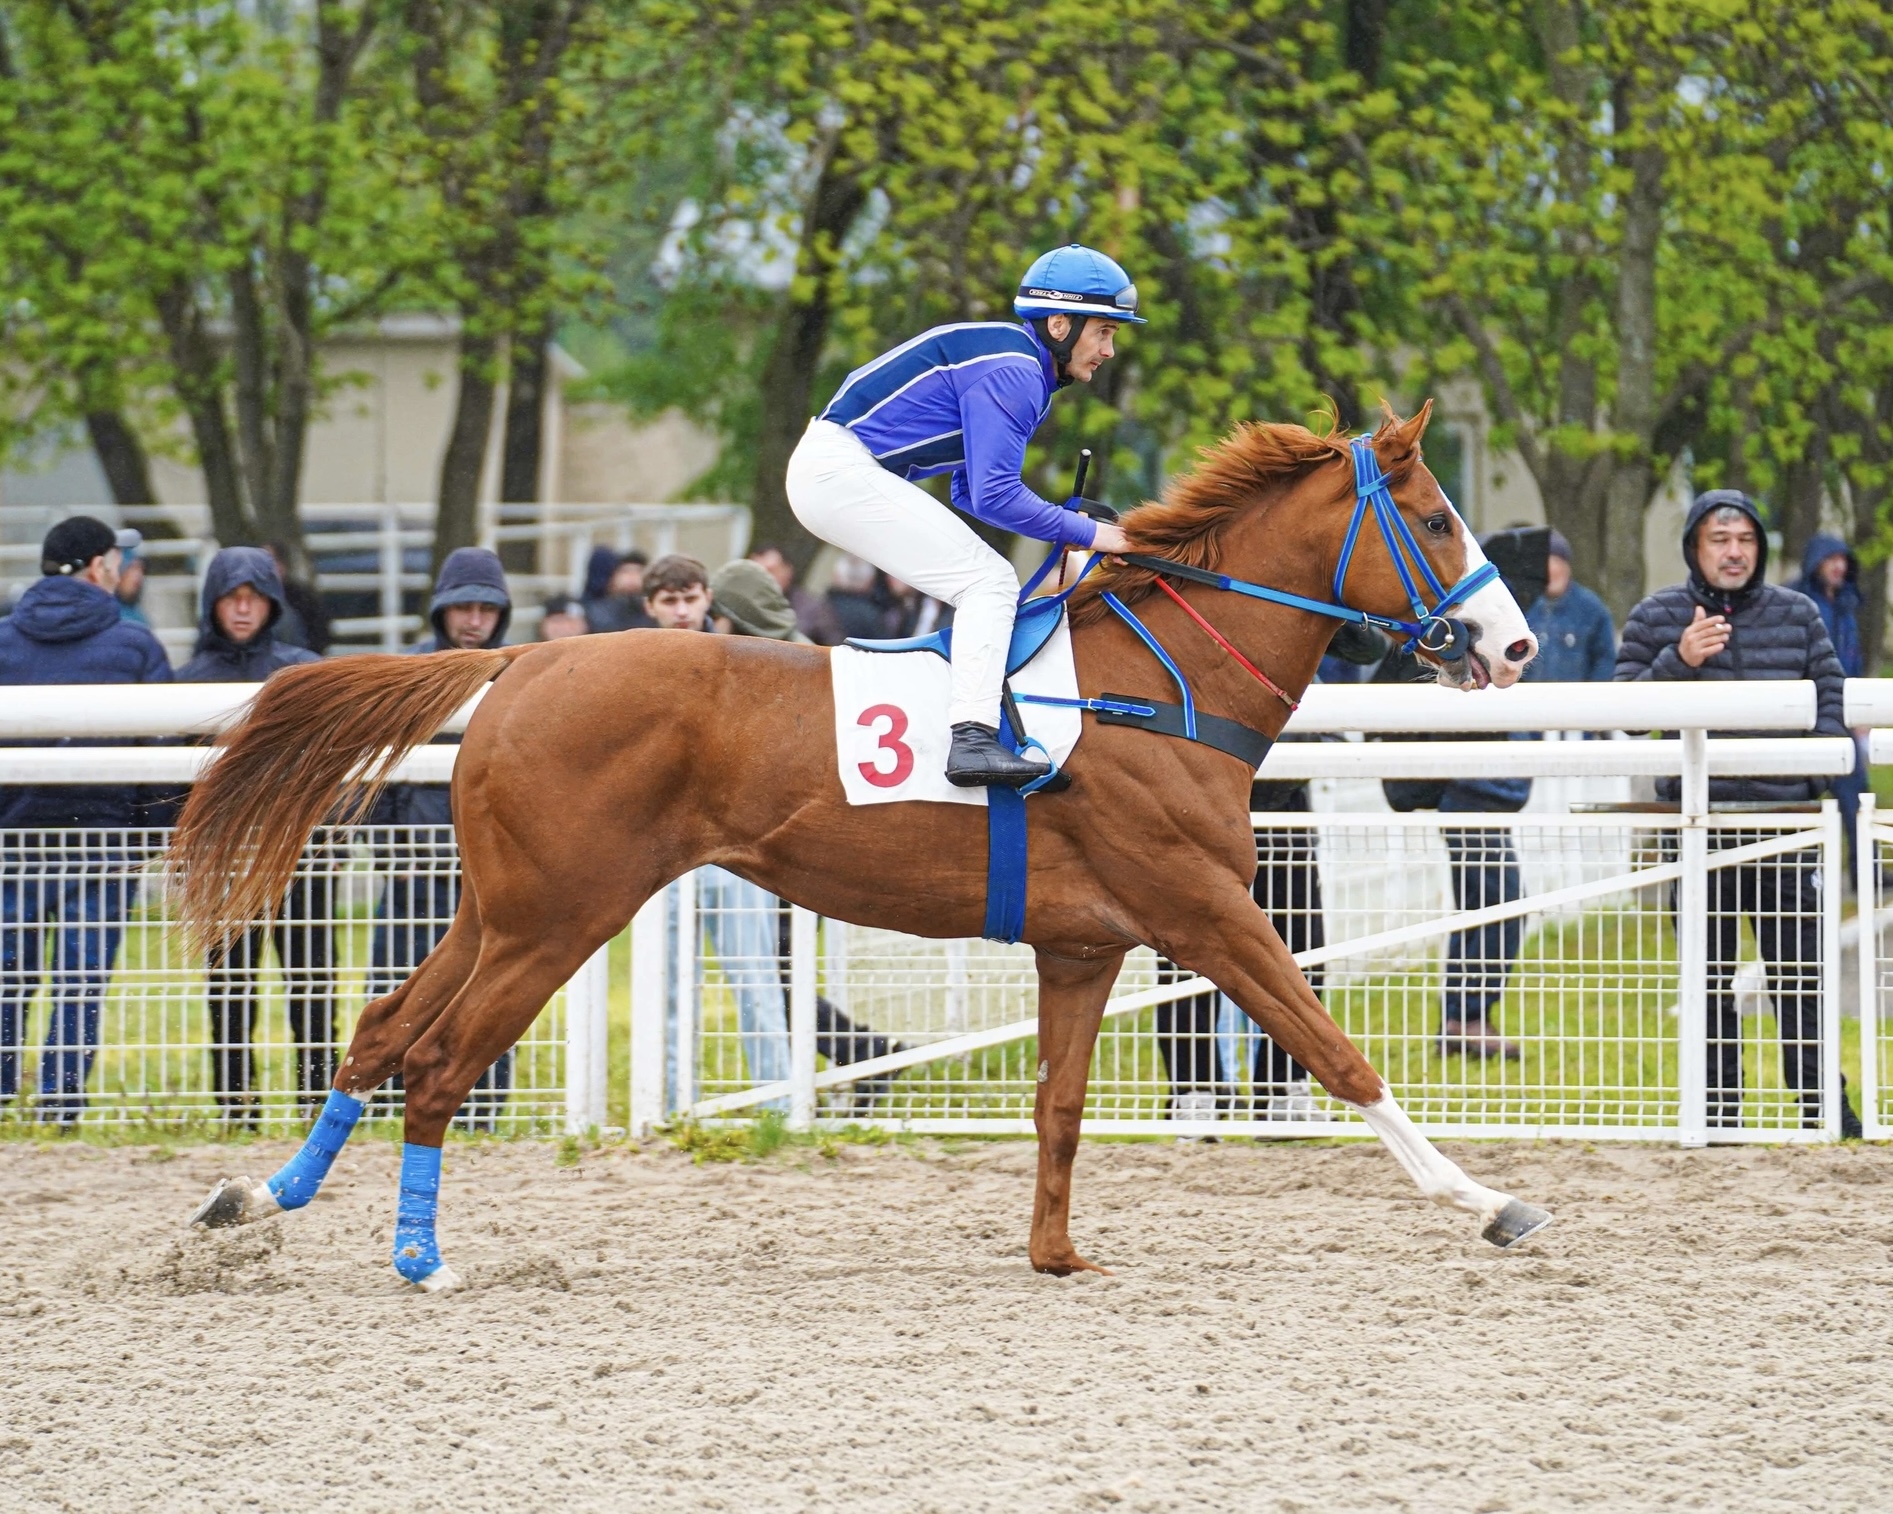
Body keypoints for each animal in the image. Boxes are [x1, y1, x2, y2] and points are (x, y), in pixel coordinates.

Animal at [170, 404, 1544, 1286]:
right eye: (1434, 515)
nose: (1516, 643)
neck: (1158, 687)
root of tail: (522, 656)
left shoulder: (1085, 944)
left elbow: (1058, 1103)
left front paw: (1055, 1252)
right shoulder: (1207, 910)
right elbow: (1339, 1054)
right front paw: (1491, 1203)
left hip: (500, 906)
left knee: (383, 1026)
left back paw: (257, 1197)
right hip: (560, 916)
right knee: (443, 1061)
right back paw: (420, 1257)